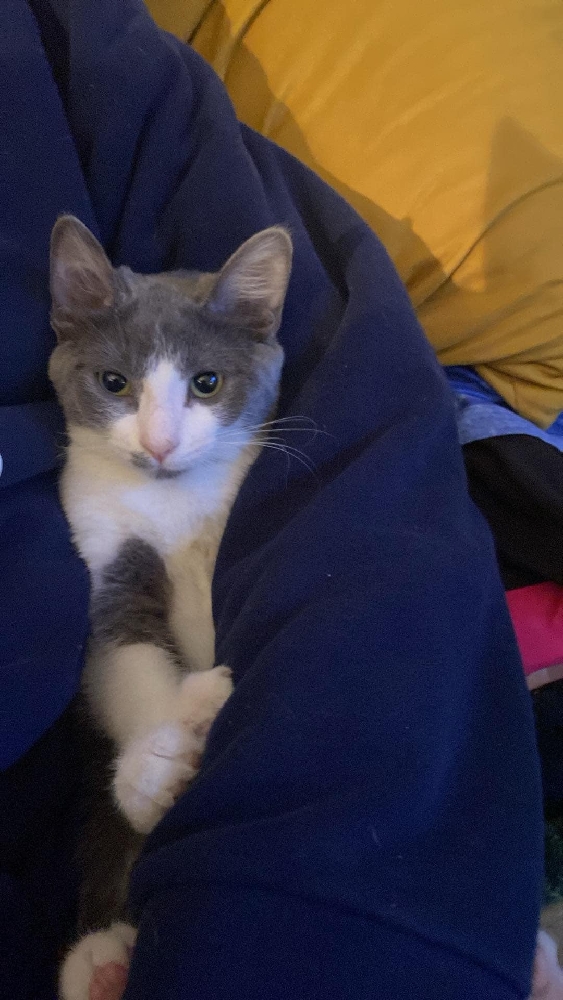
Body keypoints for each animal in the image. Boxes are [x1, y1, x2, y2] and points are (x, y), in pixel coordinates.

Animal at [48, 216, 292, 1000]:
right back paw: (104, 963)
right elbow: (120, 656)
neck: (171, 500)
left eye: (206, 383)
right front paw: (158, 757)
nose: (157, 444)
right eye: (114, 383)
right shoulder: (100, 541)